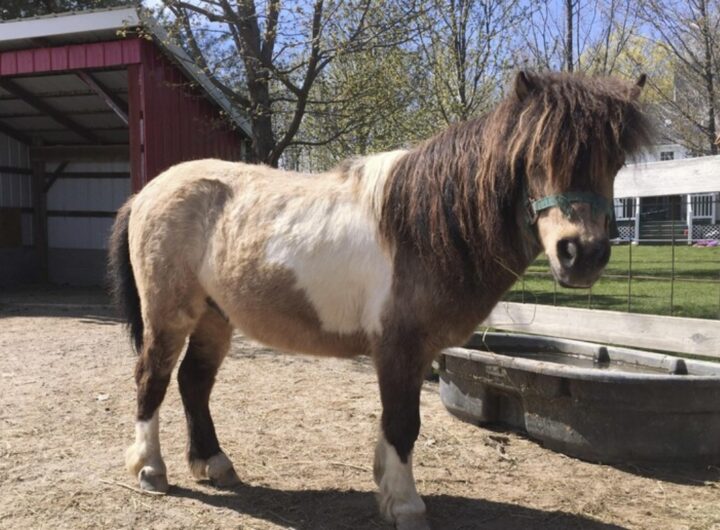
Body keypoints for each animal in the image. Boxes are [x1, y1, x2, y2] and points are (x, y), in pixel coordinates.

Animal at [108, 71, 651, 530]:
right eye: (537, 157)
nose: (582, 254)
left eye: (615, 161)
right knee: (152, 379)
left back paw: (213, 463)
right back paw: (150, 470)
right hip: (170, 315)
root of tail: (149, 192)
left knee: (193, 383)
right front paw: (405, 505)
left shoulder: (414, 352)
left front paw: (386, 488)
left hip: (215, 318)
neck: (427, 226)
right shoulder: (399, 347)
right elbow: (403, 424)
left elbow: (396, 426)